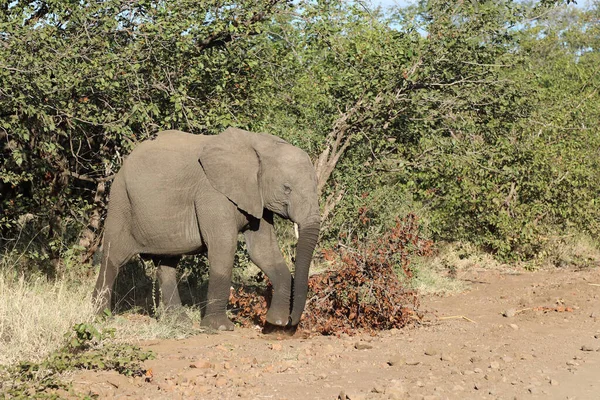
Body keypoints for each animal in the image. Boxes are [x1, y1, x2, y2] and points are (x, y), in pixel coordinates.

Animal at [92, 128, 322, 332]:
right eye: (286, 188)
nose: (292, 323)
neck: (258, 145)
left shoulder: (257, 199)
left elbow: (263, 251)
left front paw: (276, 323)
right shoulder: (211, 193)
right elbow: (224, 247)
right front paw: (220, 327)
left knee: (167, 264)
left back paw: (180, 323)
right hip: (121, 202)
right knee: (114, 258)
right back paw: (99, 317)